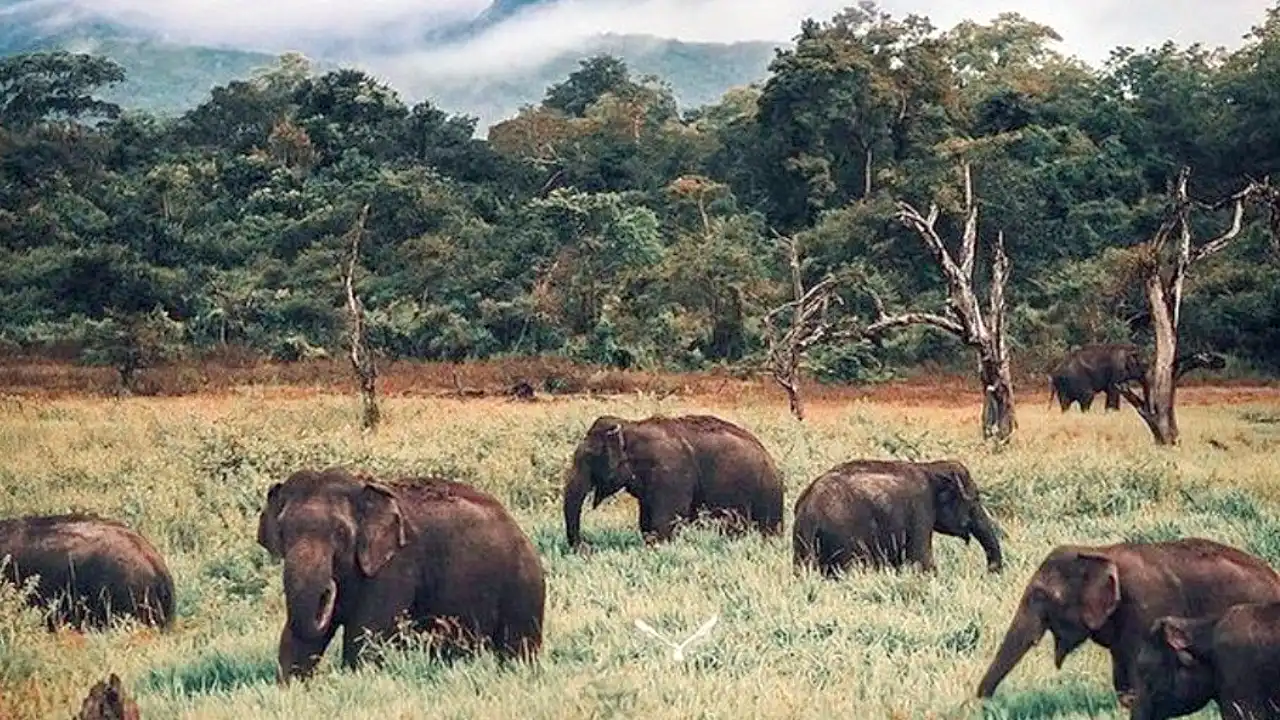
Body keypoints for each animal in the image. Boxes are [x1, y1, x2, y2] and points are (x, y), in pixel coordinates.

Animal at [257, 467, 546, 682]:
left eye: (340, 532)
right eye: (282, 531)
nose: (329, 590)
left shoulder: (396, 566)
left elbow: (365, 637)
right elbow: (301, 640)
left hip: (525, 585)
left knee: (517, 645)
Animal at [563, 414, 784, 547]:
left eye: (589, 457)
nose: (587, 546)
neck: (630, 425)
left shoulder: (672, 473)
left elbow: (665, 522)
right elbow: (646, 523)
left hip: (766, 495)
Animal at [791, 459, 1003, 577]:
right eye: (975, 499)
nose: (990, 572)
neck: (930, 468)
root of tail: (810, 508)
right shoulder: (920, 510)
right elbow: (921, 560)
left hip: (801, 541)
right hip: (843, 536)